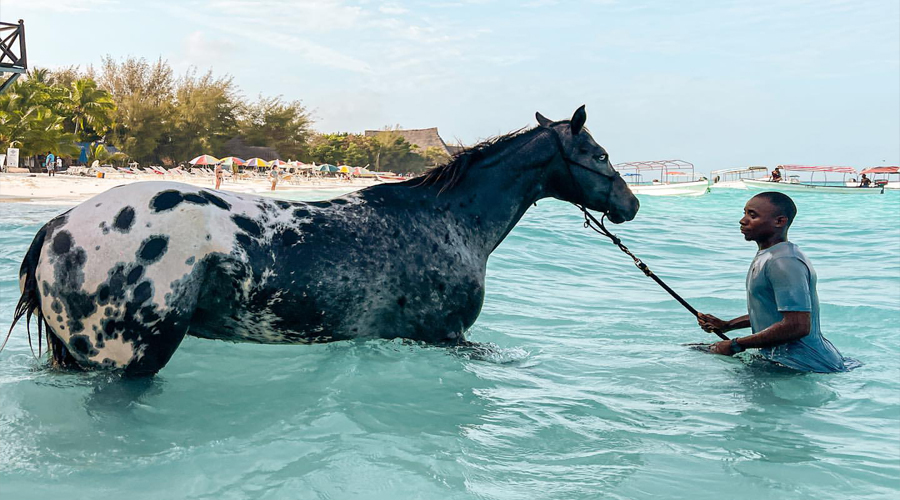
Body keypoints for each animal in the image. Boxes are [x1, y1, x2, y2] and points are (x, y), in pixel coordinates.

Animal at [5, 107, 640, 376]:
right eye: (600, 154)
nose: (631, 204)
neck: (449, 219)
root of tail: (58, 225)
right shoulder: (447, 337)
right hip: (133, 359)